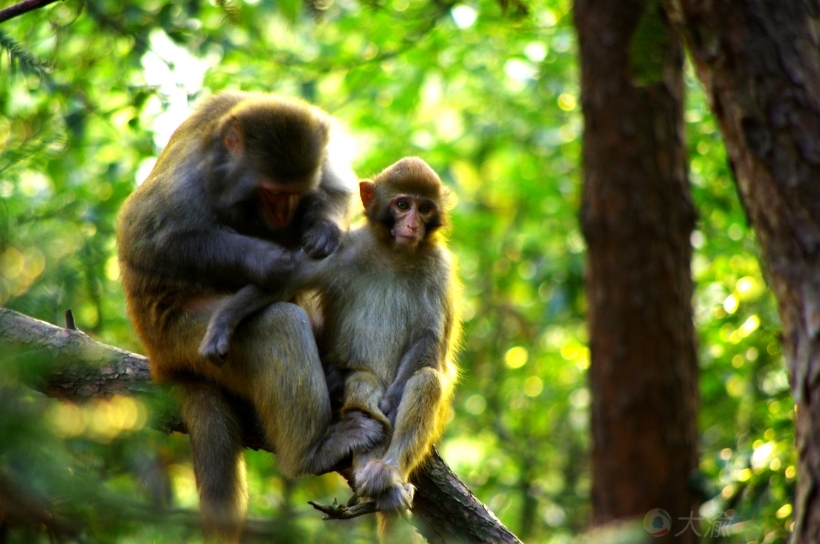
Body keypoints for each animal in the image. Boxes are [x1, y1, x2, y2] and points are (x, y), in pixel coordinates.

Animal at [116, 91, 384, 540]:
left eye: (295, 191)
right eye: (272, 192)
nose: (285, 213)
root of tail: (159, 359)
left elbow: (339, 188)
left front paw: (323, 230)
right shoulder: (189, 181)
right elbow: (144, 238)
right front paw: (268, 261)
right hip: (181, 335)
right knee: (278, 323)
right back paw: (312, 452)